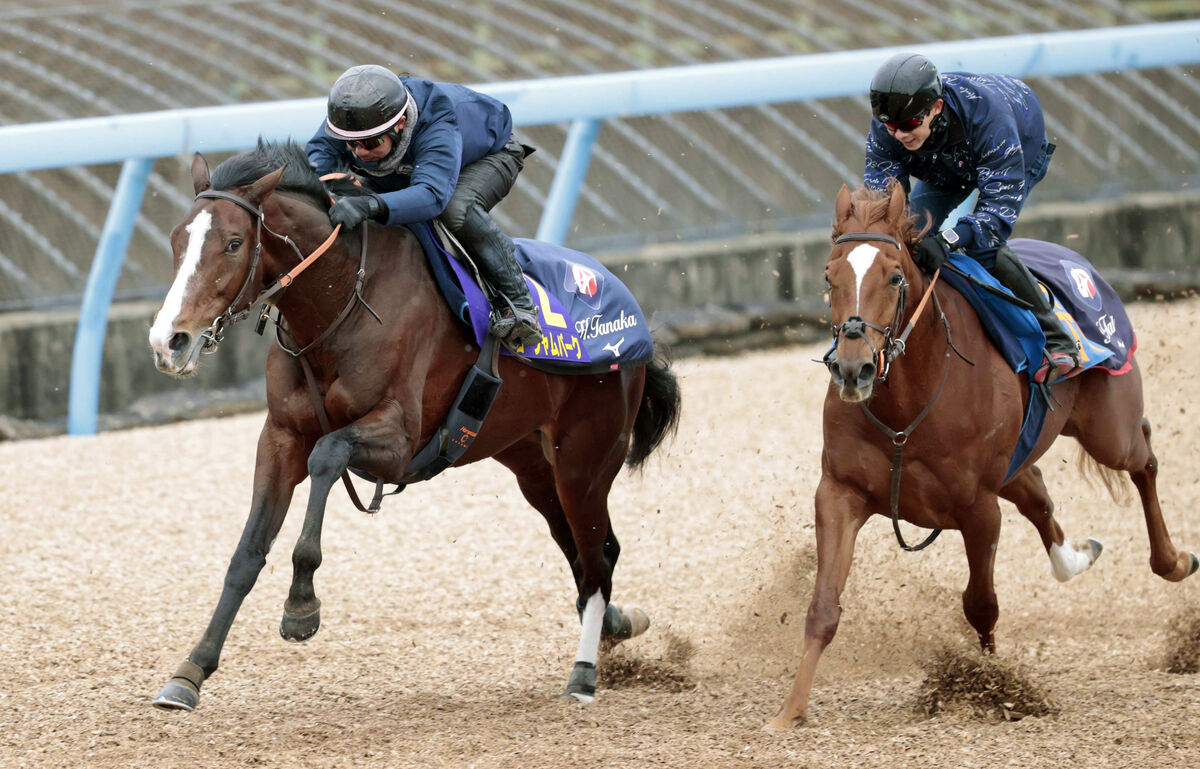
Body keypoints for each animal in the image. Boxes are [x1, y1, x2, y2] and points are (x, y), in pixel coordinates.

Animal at [145, 140, 681, 710]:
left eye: (233, 243)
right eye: (177, 239)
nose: (169, 340)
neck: (342, 299)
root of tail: (630, 313)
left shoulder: (400, 442)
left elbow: (327, 454)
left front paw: (301, 605)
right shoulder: (280, 437)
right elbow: (246, 554)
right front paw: (191, 671)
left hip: (585, 460)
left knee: (596, 557)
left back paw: (583, 672)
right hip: (533, 466)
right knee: (589, 551)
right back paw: (617, 624)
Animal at [763, 182, 1195, 729]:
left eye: (895, 276)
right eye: (828, 276)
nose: (853, 369)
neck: (909, 403)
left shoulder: (978, 508)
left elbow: (980, 604)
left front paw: (993, 687)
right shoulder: (840, 493)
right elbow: (822, 607)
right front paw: (790, 711)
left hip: (1108, 430)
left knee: (1144, 458)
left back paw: (1173, 560)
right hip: (1018, 459)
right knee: (1039, 497)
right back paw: (1076, 557)